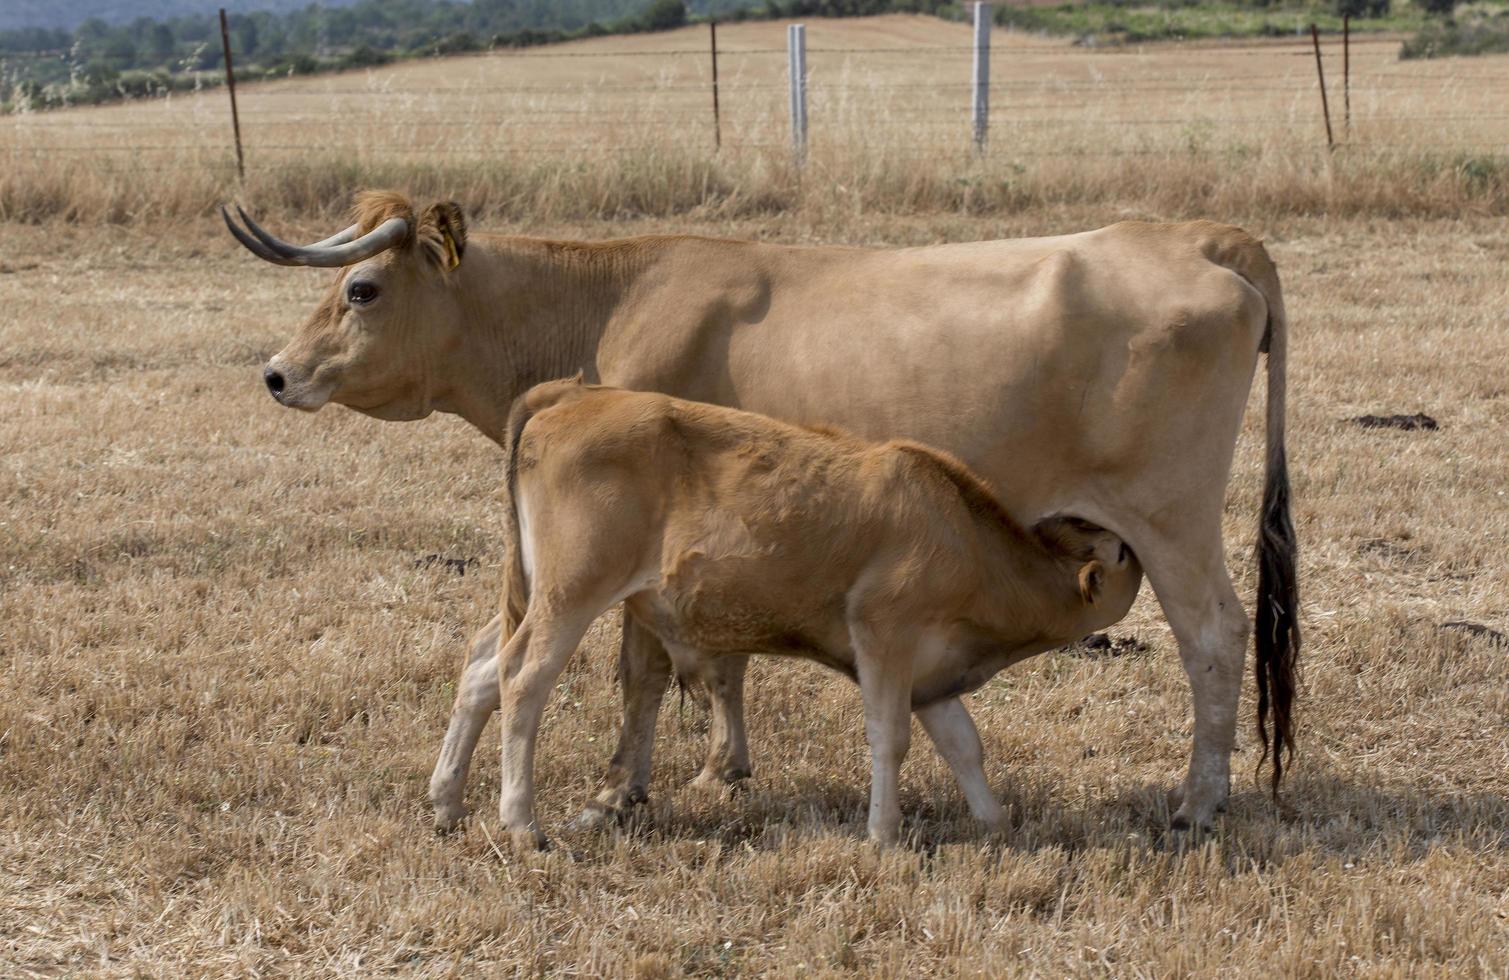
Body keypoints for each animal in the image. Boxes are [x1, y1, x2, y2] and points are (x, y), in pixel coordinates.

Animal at [494, 375, 1140, 845]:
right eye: (1122, 551)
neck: (965, 538)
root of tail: (573, 396)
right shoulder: (884, 634)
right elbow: (890, 738)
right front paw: (883, 835)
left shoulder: (932, 671)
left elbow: (964, 746)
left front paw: (996, 824)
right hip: (572, 592)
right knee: (522, 681)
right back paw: (522, 825)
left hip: (539, 594)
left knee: (485, 668)